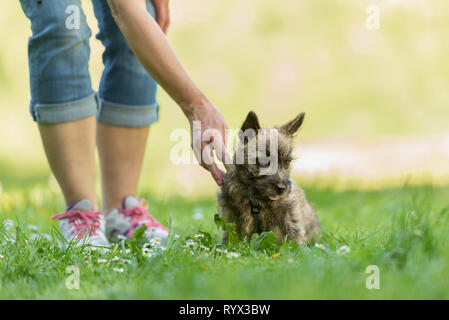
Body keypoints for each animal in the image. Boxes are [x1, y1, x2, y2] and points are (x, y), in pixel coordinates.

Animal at [217, 111, 318, 244]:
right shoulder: (230, 211)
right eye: (264, 162)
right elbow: (230, 234)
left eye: (287, 162)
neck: (256, 198)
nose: (281, 188)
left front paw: (297, 248)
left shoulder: (289, 210)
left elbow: (294, 231)